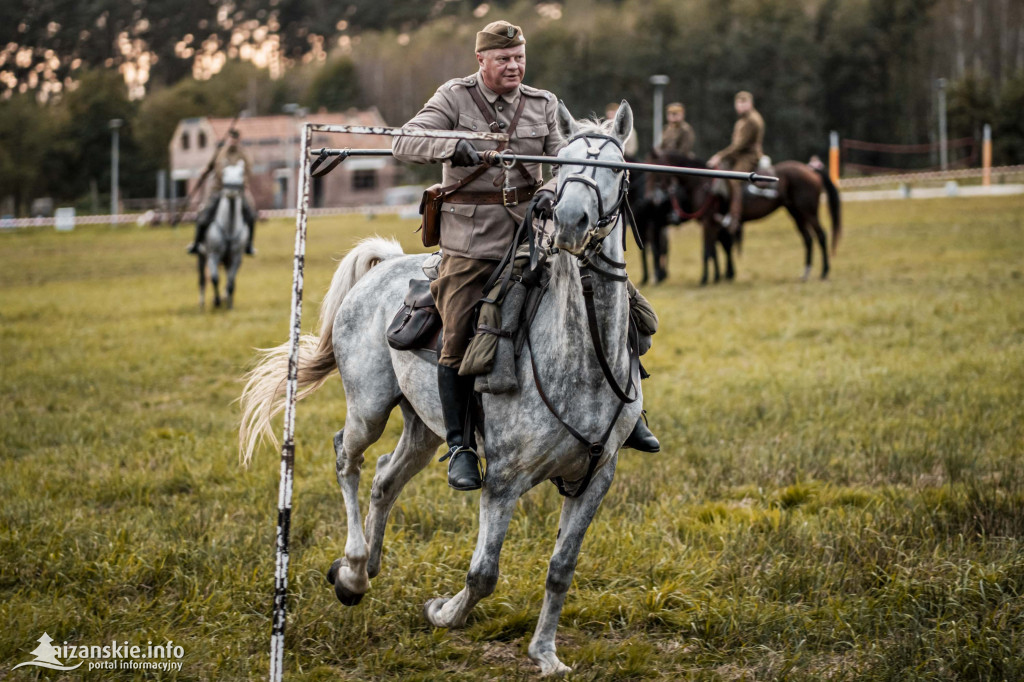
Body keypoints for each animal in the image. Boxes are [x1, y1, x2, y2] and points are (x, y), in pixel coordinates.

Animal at [197, 160, 249, 309]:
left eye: (241, 173)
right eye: (224, 173)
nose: (231, 190)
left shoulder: (236, 257)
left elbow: (231, 281)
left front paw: (229, 303)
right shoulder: (213, 255)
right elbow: (215, 279)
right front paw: (217, 301)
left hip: (227, 260)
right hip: (202, 256)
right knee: (202, 279)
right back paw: (202, 303)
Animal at [239, 100, 638, 675]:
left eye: (616, 167)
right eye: (562, 164)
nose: (568, 221)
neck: (580, 358)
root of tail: (384, 267)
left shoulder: (595, 478)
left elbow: (561, 568)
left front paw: (544, 653)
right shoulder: (504, 482)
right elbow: (483, 574)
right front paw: (445, 613)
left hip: (425, 429)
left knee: (386, 478)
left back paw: (361, 572)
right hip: (370, 408)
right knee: (347, 458)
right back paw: (353, 566)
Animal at [647, 150, 839, 282]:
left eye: (655, 172)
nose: (652, 198)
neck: (701, 184)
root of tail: (811, 169)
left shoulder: (709, 222)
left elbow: (708, 251)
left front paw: (705, 279)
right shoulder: (714, 223)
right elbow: (717, 249)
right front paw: (720, 276)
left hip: (807, 211)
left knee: (821, 236)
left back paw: (824, 271)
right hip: (795, 212)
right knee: (808, 239)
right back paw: (806, 272)